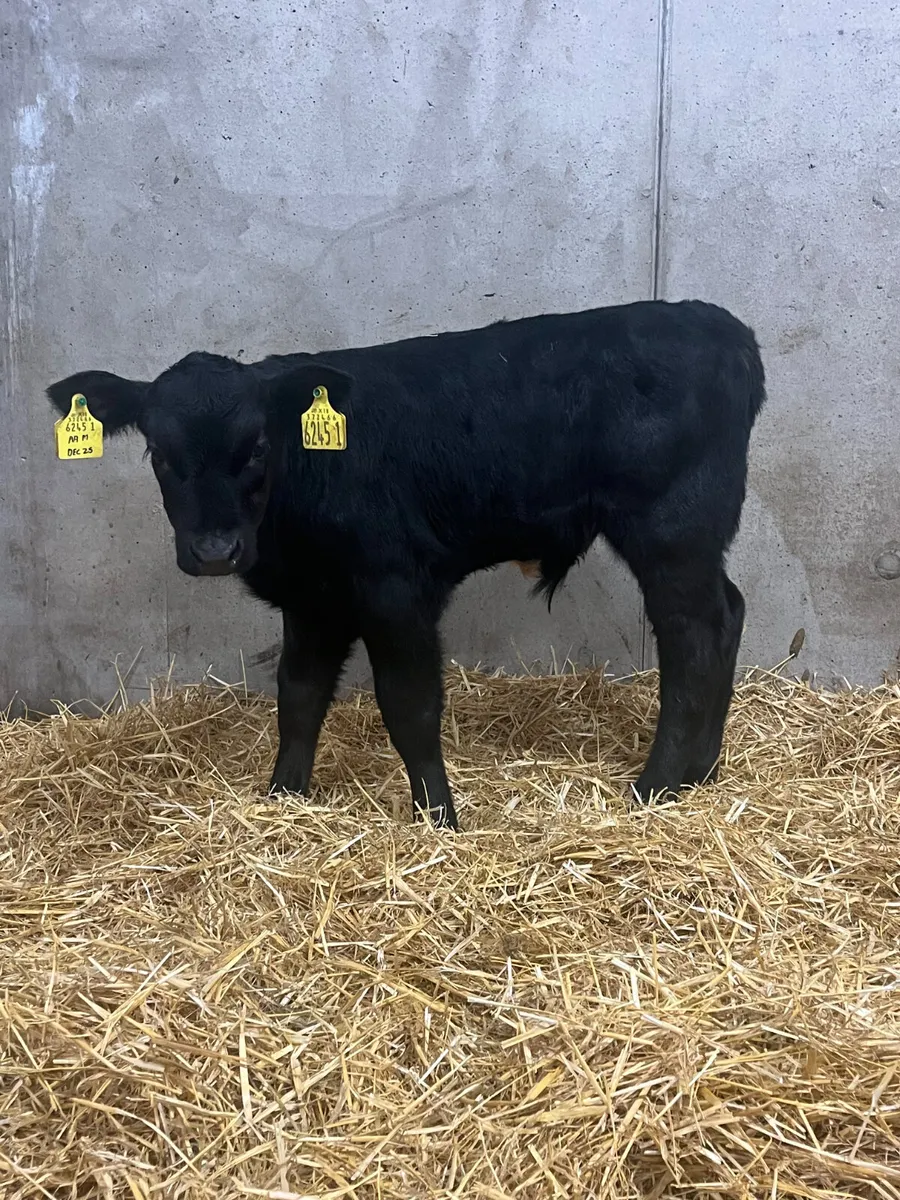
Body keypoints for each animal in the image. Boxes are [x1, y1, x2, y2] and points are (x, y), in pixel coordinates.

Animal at [48, 299, 766, 831]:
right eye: (161, 454)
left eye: (255, 447)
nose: (215, 551)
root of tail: (718, 325)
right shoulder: (314, 599)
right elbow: (298, 696)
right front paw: (283, 798)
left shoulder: (396, 589)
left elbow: (410, 705)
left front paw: (438, 819)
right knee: (728, 612)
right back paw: (702, 771)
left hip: (671, 527)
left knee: (693, 637)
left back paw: (656, 786)